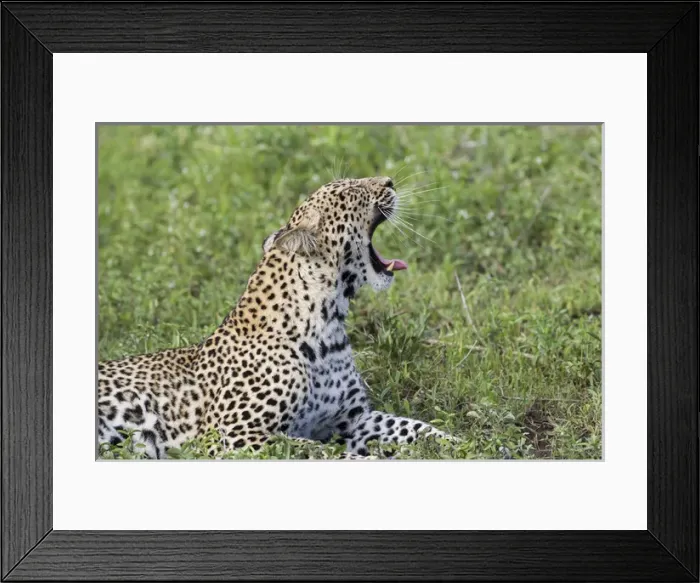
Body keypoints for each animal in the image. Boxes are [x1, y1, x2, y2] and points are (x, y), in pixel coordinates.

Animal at [97, 176, 450, 459]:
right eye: (351, 191)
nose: (390, 181)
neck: (329, 323)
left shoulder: (352, 419)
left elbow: (412, 426)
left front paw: (450, 443)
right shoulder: (232, 436)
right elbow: (315, 452)